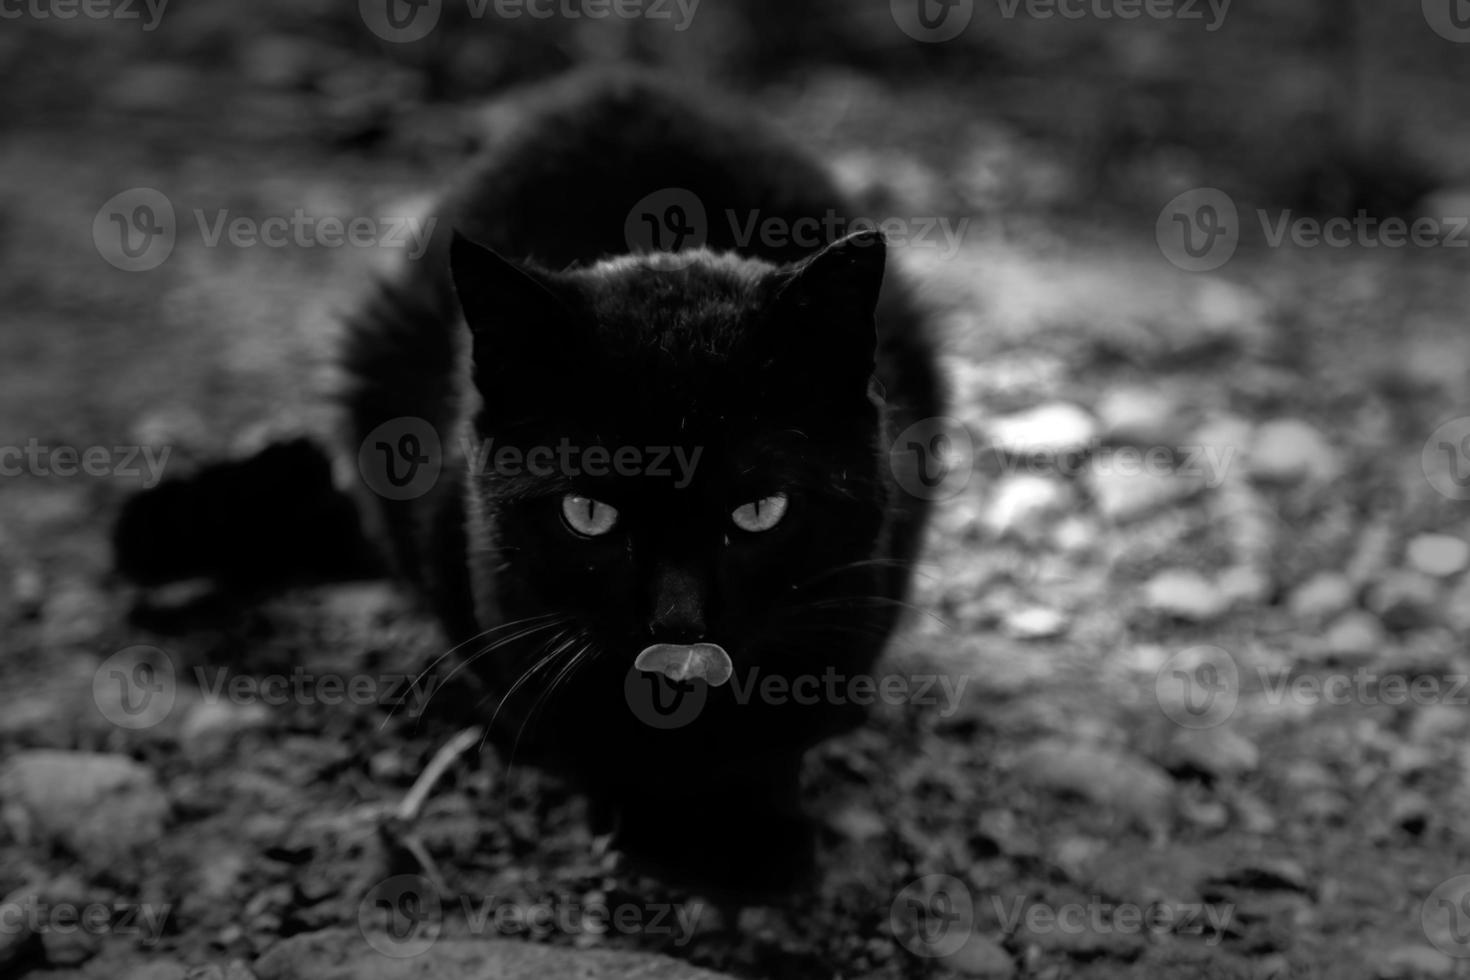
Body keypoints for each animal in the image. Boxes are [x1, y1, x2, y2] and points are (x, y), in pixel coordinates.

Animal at [114, 69, 940, 899]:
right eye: (588, 513)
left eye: (760, 511)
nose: (677, 624)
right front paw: (669, 833)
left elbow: (782, 724)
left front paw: (757, 831)